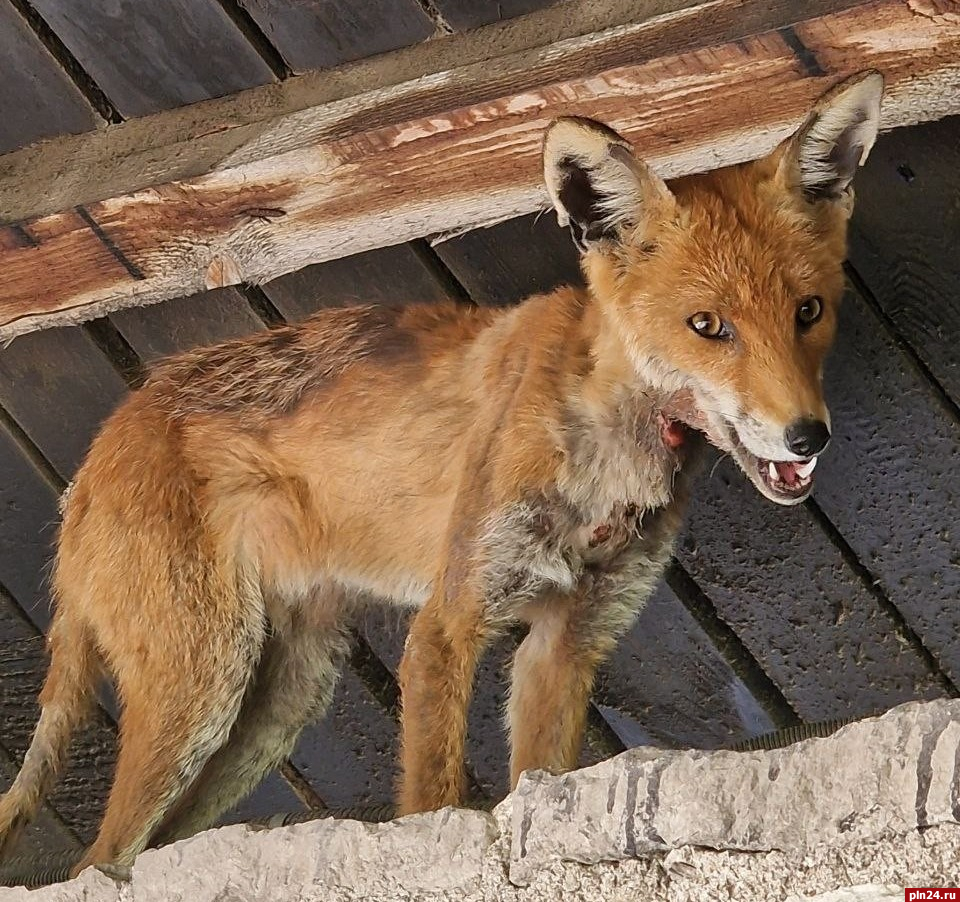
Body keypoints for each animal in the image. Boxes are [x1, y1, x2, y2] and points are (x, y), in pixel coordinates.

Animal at [0, 72, 880, 884]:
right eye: (708, 326)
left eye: (807, 312)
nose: (809, 434)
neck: (601, 457)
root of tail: (98, 451)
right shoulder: (446, 623)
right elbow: (431, 803)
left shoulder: (568, 642)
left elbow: (539, 784)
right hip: (203, 688)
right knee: (96, 861)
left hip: (274, 707)